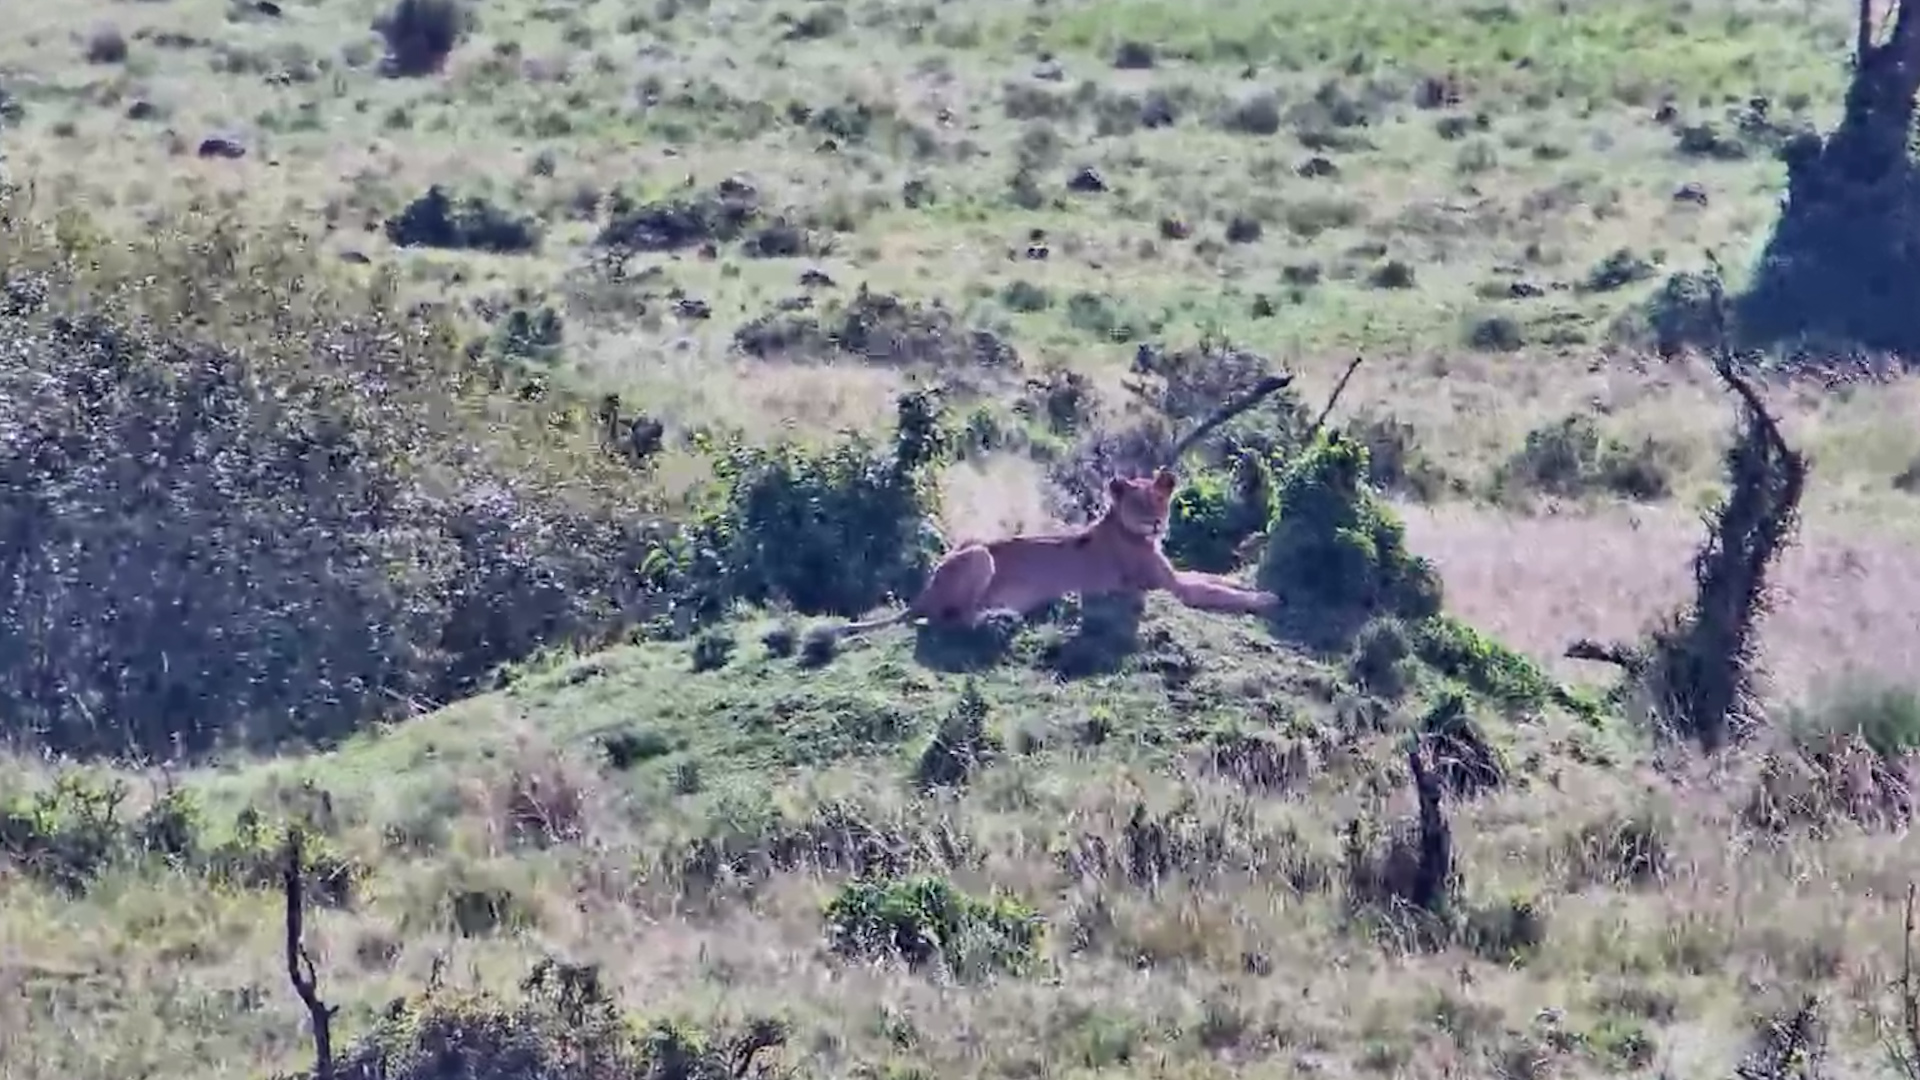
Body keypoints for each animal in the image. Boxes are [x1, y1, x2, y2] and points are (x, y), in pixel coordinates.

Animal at [834, 468, 1279, 637]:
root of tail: (923, 591)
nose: (1155, 522)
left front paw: (1249, 585)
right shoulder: (1168, 587)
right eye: (1139, 504)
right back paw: (998, 616)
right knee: (948, 619)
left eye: (1159, 500)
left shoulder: (1176, 576)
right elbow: (1213, 592)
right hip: (980, 556)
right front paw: (1267, 598)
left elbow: (1211, 577)